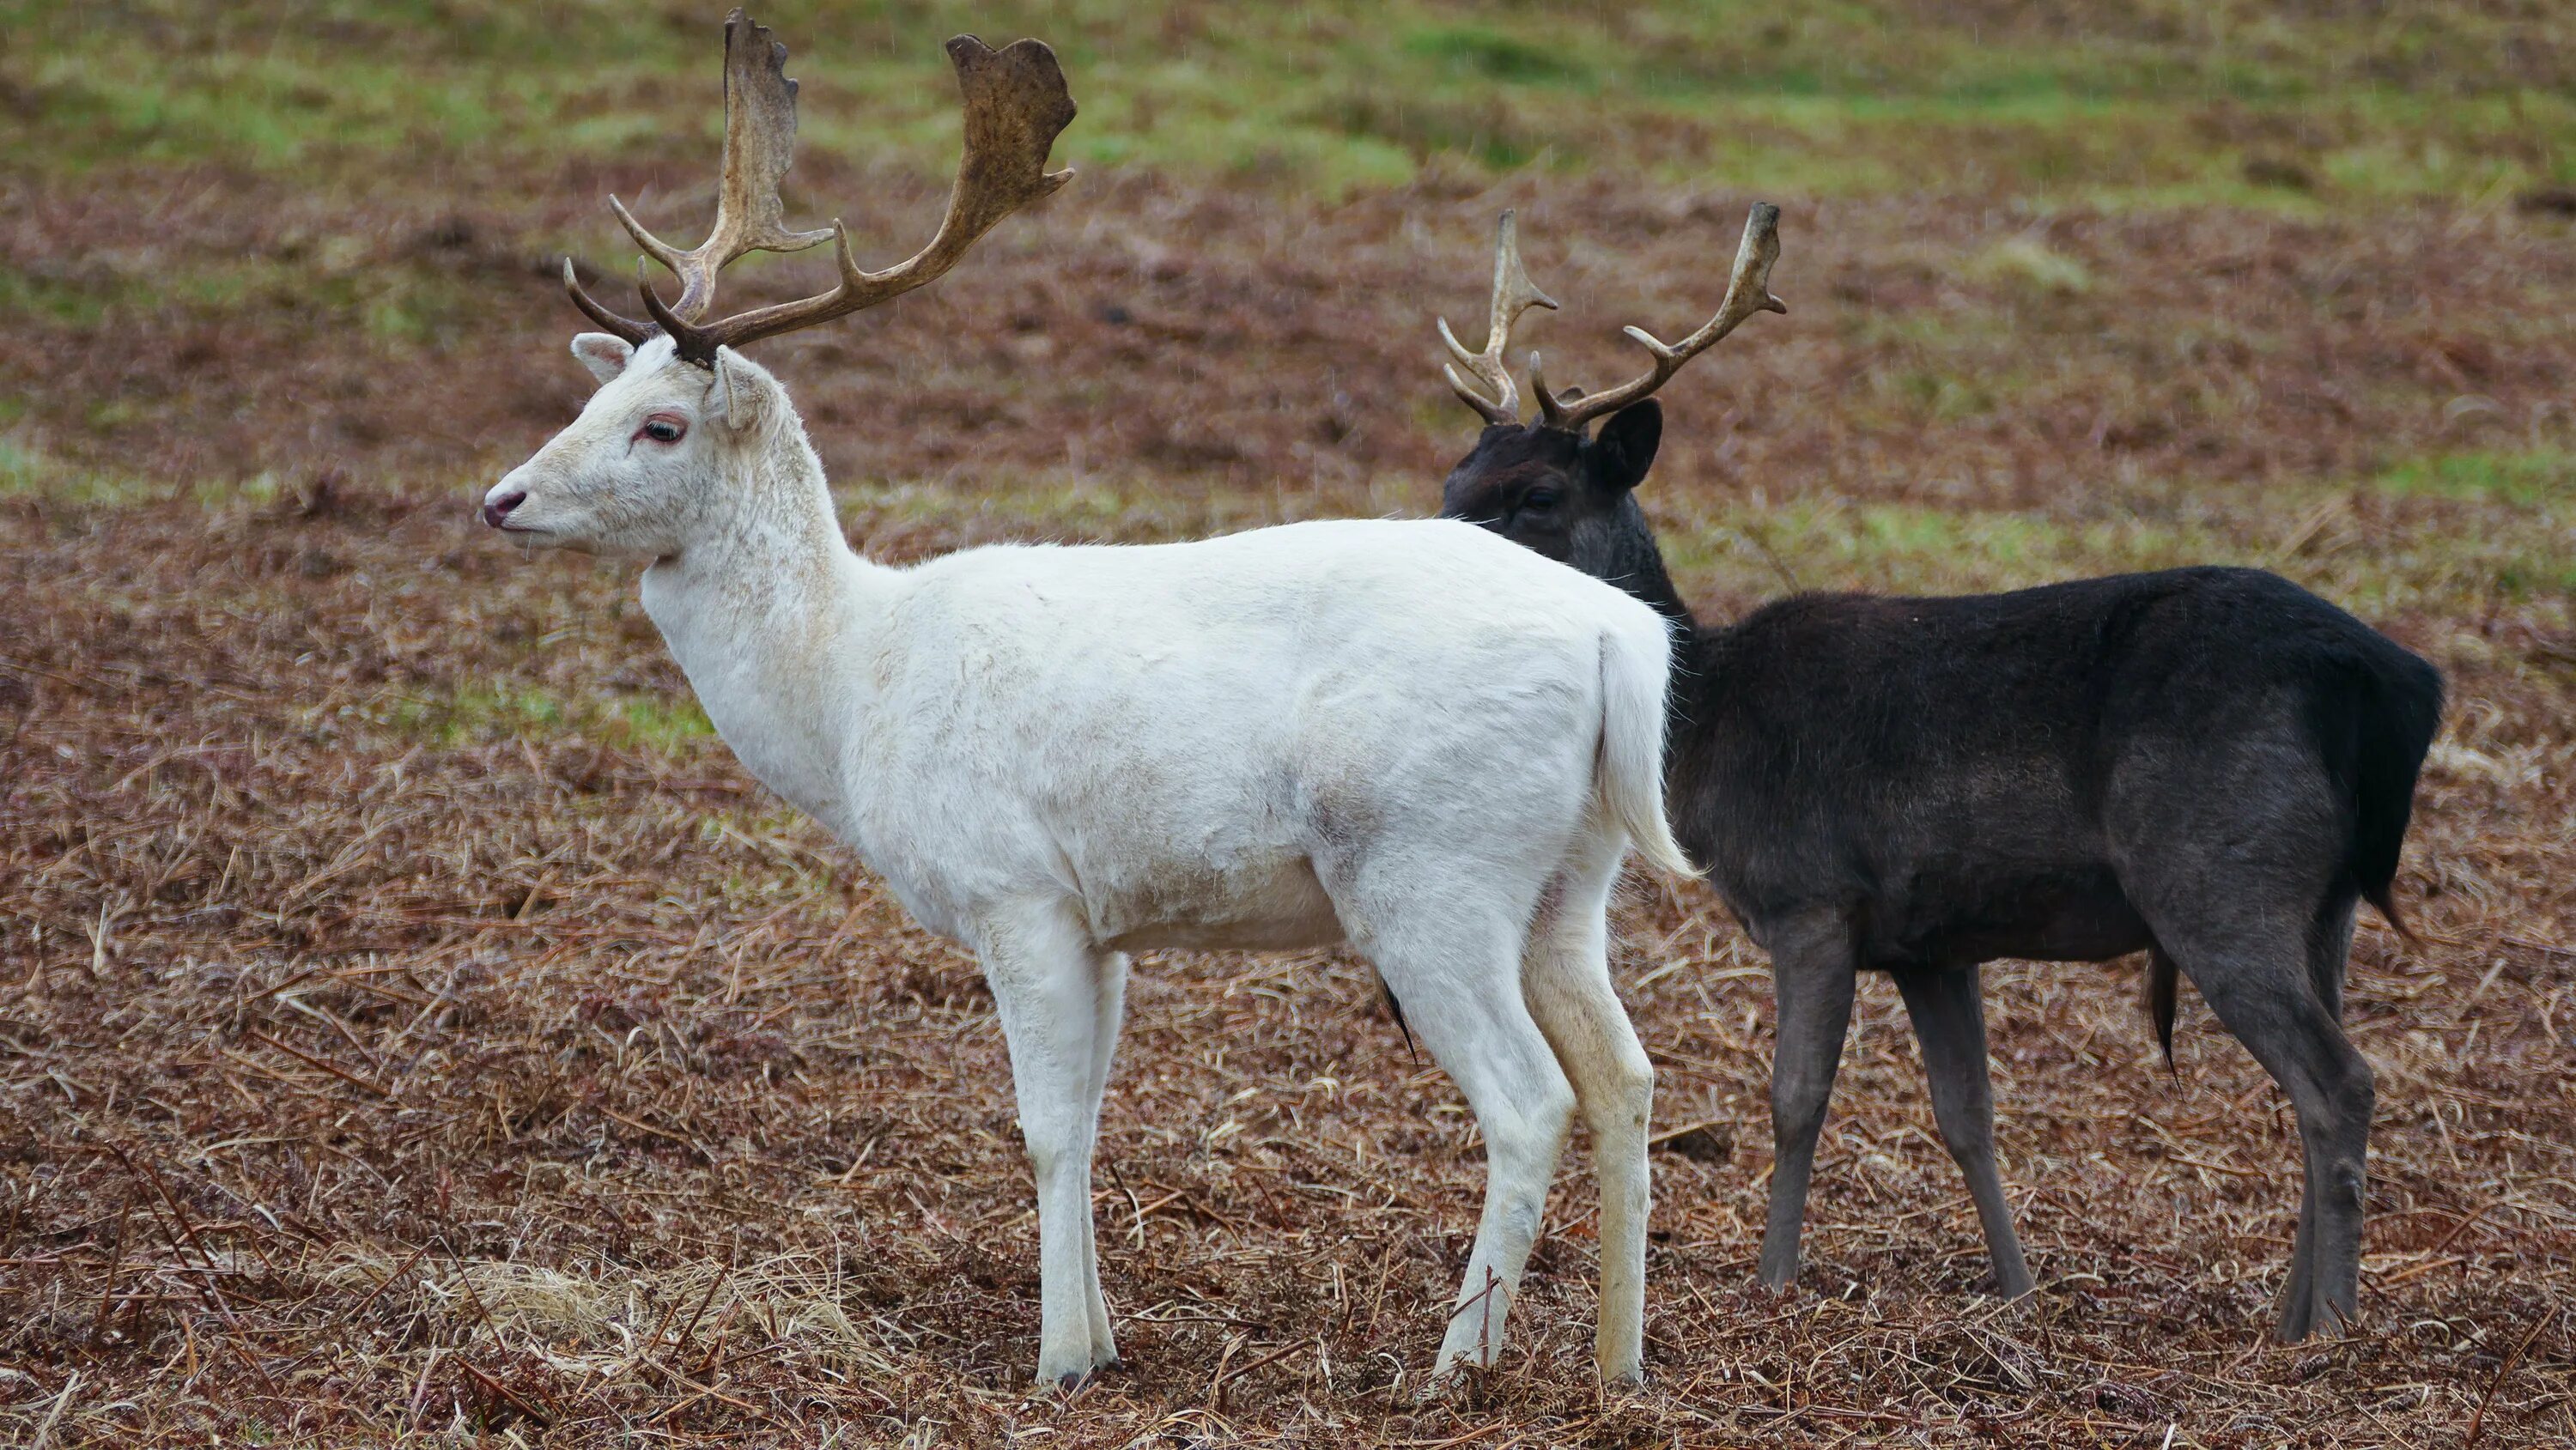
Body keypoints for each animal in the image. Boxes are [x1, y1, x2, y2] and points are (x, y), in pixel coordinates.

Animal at [484, 14, 1690, 1391]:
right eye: (591, 398)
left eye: (663, 426)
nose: (502, 499)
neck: (850, 688)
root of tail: (1621, 639)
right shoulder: (1106, 921)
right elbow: (1099, 1114)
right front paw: (1104, 1335)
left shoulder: (1014, 889)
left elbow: (1047, 1127)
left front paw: (1059, 1357)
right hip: (1571, 879)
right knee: (1629, 1074)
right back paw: (1618, 1365)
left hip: (1431, 868)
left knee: (1531, 1096)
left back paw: (1459, 1361)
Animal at [1443, 209, 2442, 1350]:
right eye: (1454, 479)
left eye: (1539, 493)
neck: (1703, 726)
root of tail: (2394, 683)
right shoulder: (1932, 942)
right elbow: (1967, 1116)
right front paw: (2016, 1288)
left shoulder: (1813, 896)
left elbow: (1796, 1096)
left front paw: (1773, 1282)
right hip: (2326, 900)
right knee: (2323, 1074)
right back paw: (2289, 1317)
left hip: (2221, 869)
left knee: (2339, 1081)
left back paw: (2335, 1331)